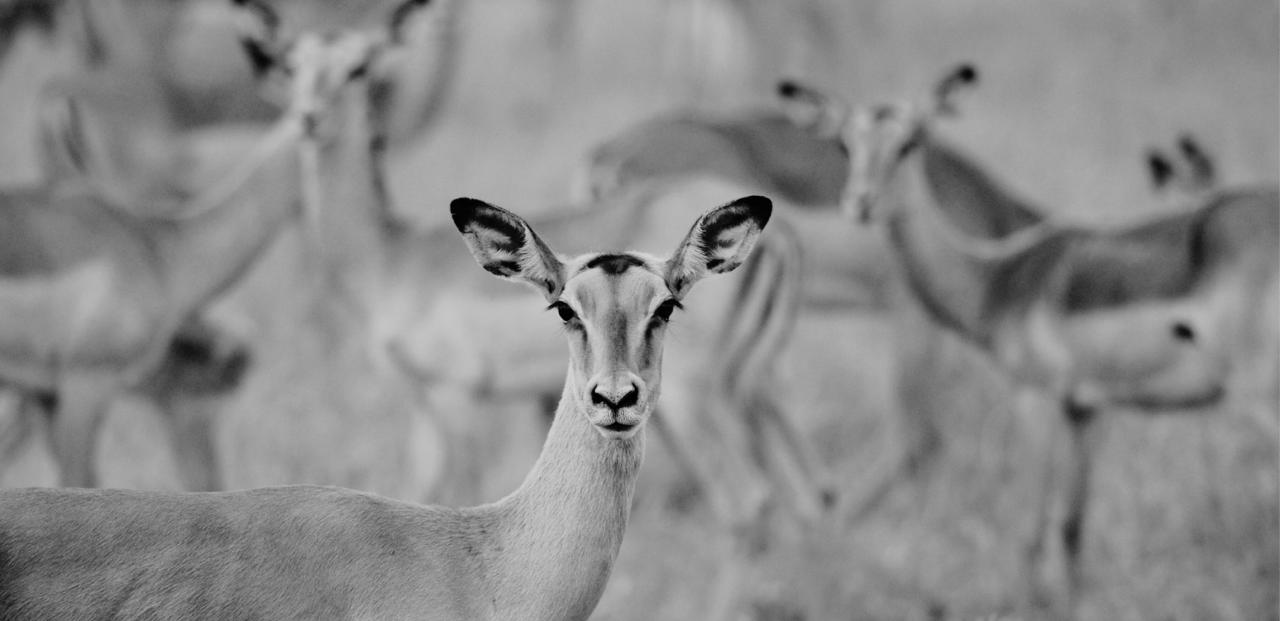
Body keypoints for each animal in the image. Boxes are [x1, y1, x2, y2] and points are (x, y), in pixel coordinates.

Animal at [781, 65, 1279, 614]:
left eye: (910, 142)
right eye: (844, 144)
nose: (860, 203)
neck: (998, 280)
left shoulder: (1034, 396)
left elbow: (1029, 526)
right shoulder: (1086, 409)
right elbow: (1071, 526)